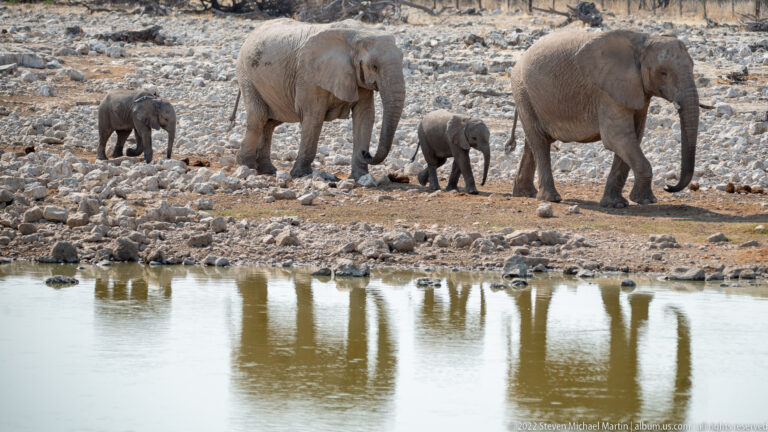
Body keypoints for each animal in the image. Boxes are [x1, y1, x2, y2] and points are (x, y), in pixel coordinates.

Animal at [230, 18, 405, 180]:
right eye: (374, 66)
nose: (366, 153)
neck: (359, 34)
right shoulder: (308, 77)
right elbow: (313, 116)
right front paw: (301, 174)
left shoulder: (356, 77)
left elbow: (365, 115)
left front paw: (361, 177)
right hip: (246, 74)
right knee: (259, 117)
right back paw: (246, 165)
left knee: (270, 122)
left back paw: (267, 170)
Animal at [507, 30, 699, 207]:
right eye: (663, 73)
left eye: (692, 66)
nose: (668, 186)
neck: (643, 41)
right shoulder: (607, 91)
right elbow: (617, 137)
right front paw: (646, 201)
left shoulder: (636, 90)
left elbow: (633, 137)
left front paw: (617, 204)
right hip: (523, 91)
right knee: (539, 141)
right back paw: (551, 199)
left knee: (533, 142)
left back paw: (526, 194)